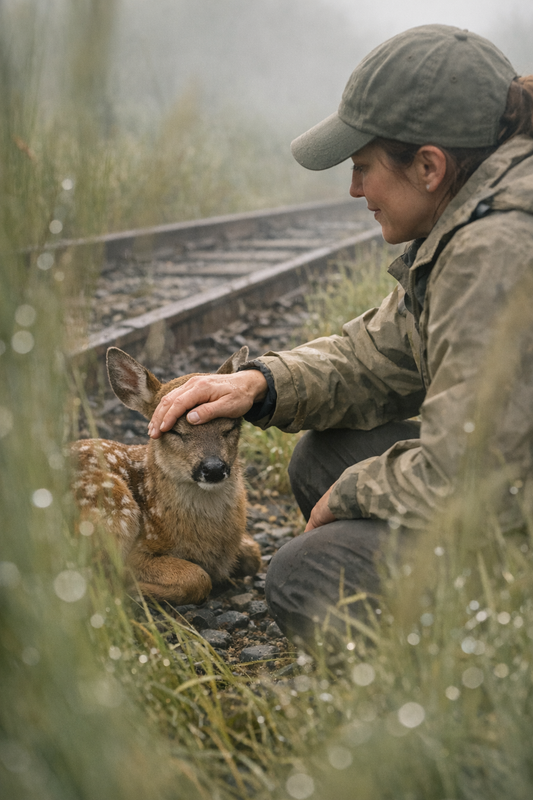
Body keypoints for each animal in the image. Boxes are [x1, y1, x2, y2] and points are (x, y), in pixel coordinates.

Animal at [71, 346, 261, 605]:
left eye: (231, 427)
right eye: (174, 431)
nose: (213, 468)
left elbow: (255, 554)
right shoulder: (137, 552)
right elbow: (198, 577)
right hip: (111, 504)